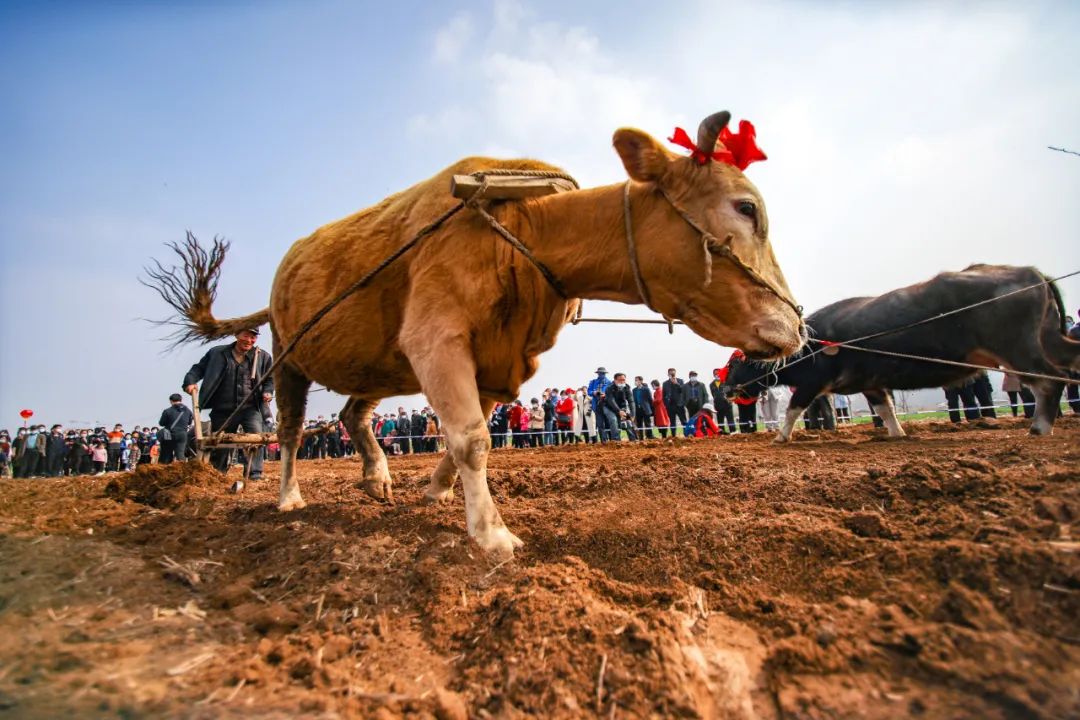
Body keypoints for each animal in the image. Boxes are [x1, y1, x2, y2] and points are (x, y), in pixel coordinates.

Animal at [725, 264, 1080, 440]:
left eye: (737, 362)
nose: (726, 389)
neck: (810, 346)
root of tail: (1033, 274)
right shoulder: (870, 384)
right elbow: (886, 409)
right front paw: (897, 433)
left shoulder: (813, 383)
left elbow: (793, 409)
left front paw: (781, 437)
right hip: (1050, 339)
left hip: (1018, 349)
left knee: (1050, 380)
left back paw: (1039, 427)